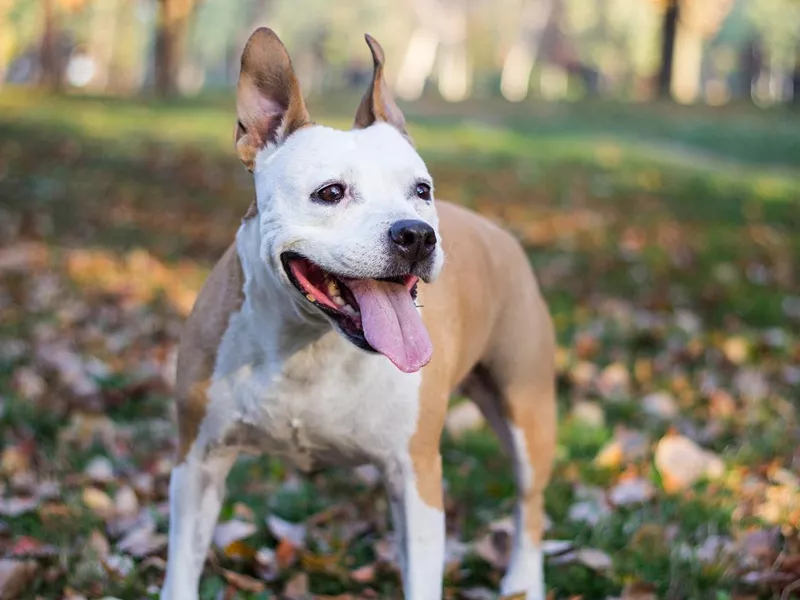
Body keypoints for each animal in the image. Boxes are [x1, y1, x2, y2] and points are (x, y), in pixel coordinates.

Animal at [162, 28, 556, 600]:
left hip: (527, 410)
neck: (309, 344)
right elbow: (181, 571)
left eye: (422, 190)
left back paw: (523, 579)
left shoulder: (415, 476)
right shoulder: (198, 462)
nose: (416, 233)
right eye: (330, 192)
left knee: (530, 503)